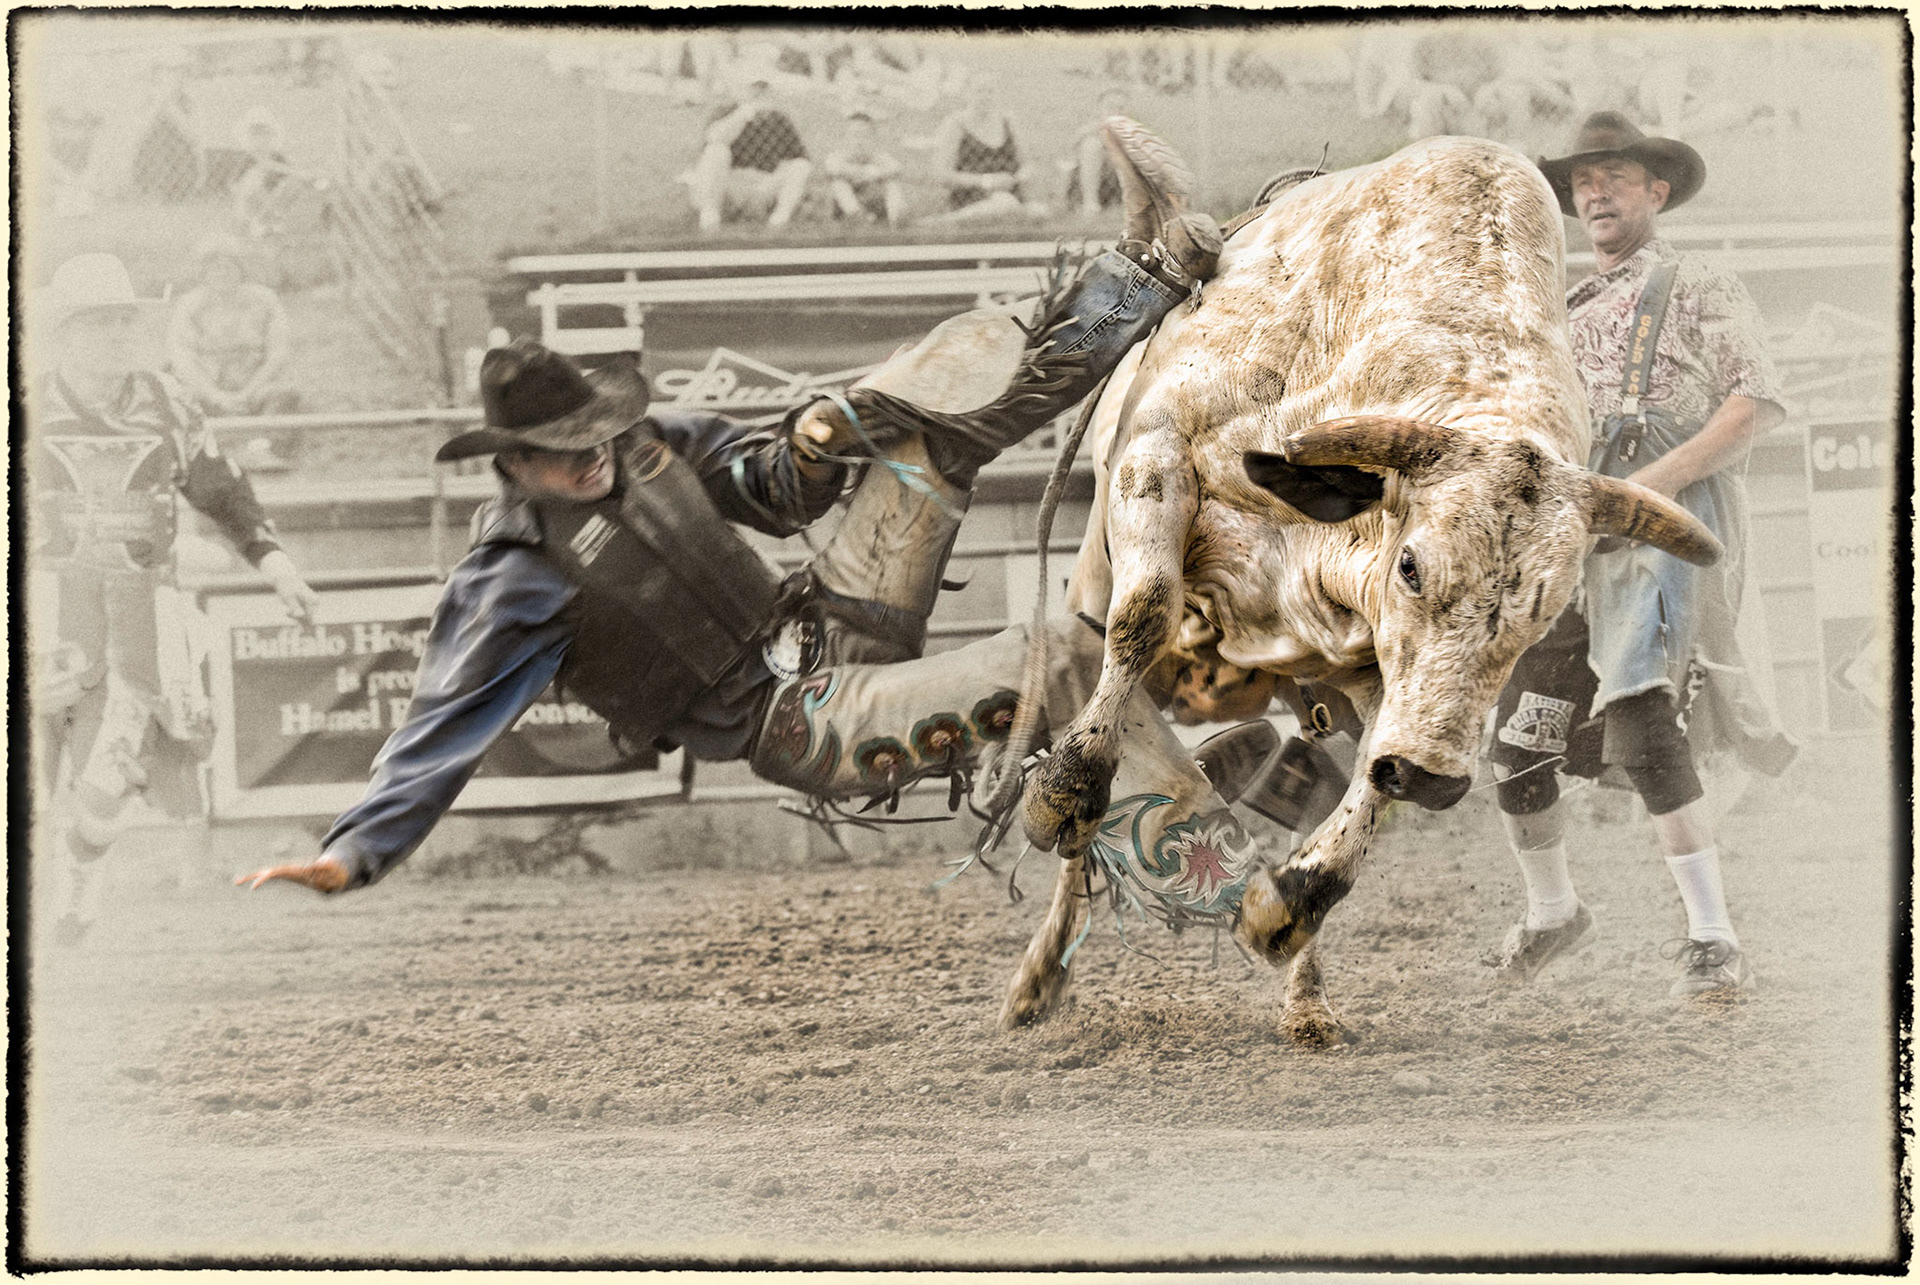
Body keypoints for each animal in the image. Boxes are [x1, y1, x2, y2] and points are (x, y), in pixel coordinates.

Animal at [1005, 136, 1722, 1042]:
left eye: (1550, 610)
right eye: (1412, 565)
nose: (1437, 779)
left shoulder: (1382, 671)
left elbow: (1368, 787)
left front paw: (1288, 905)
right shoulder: (1159, 451)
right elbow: (1143, 619)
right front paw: (1061, 792)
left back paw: (1307, 999)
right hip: (1098, 604)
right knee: (1123, 717)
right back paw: (1042, 973)